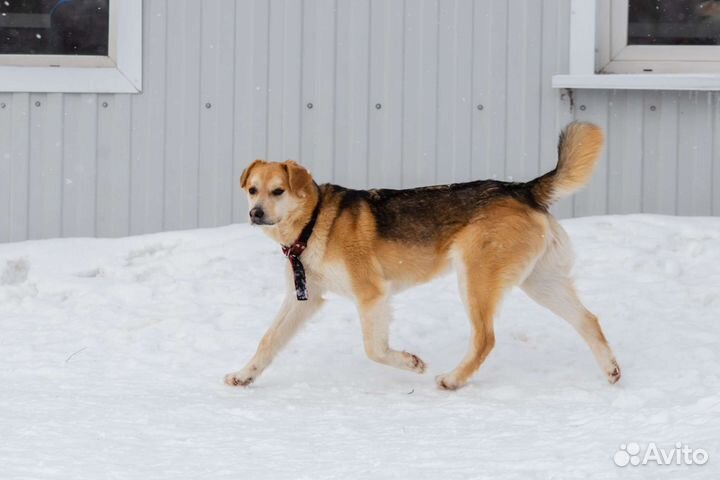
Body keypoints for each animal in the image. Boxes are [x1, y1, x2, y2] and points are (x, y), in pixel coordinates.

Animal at [225, 122, 620, 388]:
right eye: (252, 190)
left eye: (278, 191)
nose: (255, 213)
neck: (314, 222)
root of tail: (523, 189)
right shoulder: (304, 299)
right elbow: (268, 340)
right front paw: (245, 375)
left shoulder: (372, 294)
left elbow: (374, 349)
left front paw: (411, 363)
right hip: (541, 282)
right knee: (589, 320)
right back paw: (611, 371)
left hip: (475, 278)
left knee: (485, 339)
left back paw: (453, 380)